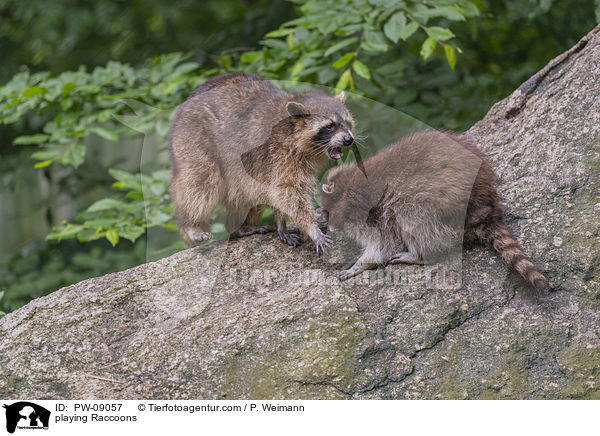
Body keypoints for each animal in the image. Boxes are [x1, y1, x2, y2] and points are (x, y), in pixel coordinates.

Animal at [168, 73, 356, 254]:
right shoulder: (277, 153)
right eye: (330, 126)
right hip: (194, 141)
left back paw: (238, 228)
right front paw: (312, 228)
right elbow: (287, 191)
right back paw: (192, 224)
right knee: (200, 183)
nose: (349, 140)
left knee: (243, 194)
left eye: (347, 122)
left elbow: (285, 191)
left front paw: (281, 223)